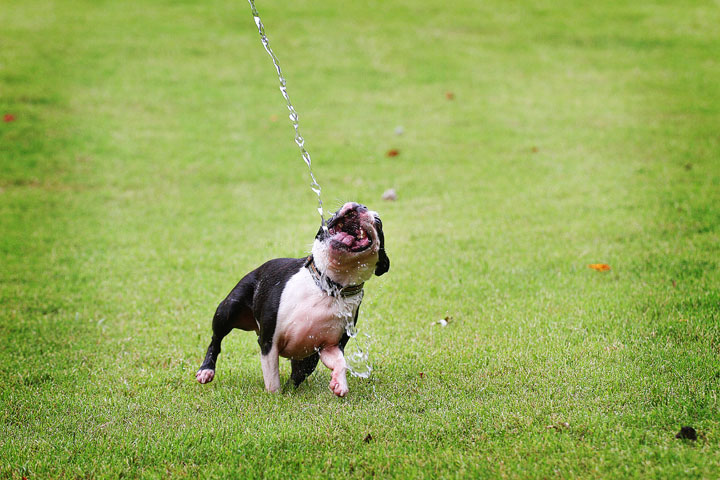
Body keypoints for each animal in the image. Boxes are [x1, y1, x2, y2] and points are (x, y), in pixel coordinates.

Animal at [195, 201, 388, 396]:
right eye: (333, 214)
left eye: (378, 222)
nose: (359, 205)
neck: (329, 286)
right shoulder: (269, 342)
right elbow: (272, 376)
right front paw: (275, 397)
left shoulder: (329, 346)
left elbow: (340, 361)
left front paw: (339, 383)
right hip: (228, 309)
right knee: (216, 340)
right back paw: (206, 370)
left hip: (306, 358)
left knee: (298, 374)